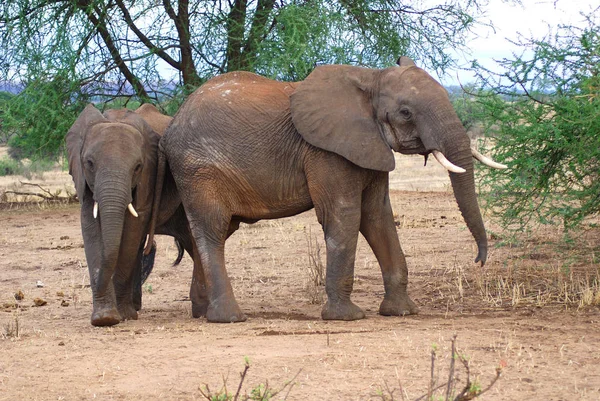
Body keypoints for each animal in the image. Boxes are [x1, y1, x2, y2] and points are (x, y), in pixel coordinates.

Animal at [64, 103, 203, 324]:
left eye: (137, 167)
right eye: (89, 163)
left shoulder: (148, 177)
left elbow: (132, 229)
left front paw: (122, 316)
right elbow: (91, 227)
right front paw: (104, 318)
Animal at [150, 56, 506, 322]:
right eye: (405, 112)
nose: (478, 260)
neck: (370, 79)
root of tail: (171, 124)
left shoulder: (369, 145)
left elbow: (377, 216)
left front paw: (402, 312)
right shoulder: (326, 151)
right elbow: (345, 214)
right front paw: (346, 317)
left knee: (211, 234)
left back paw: (202, 312)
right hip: (199, 170)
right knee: (212, 230)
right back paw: (229, 318)